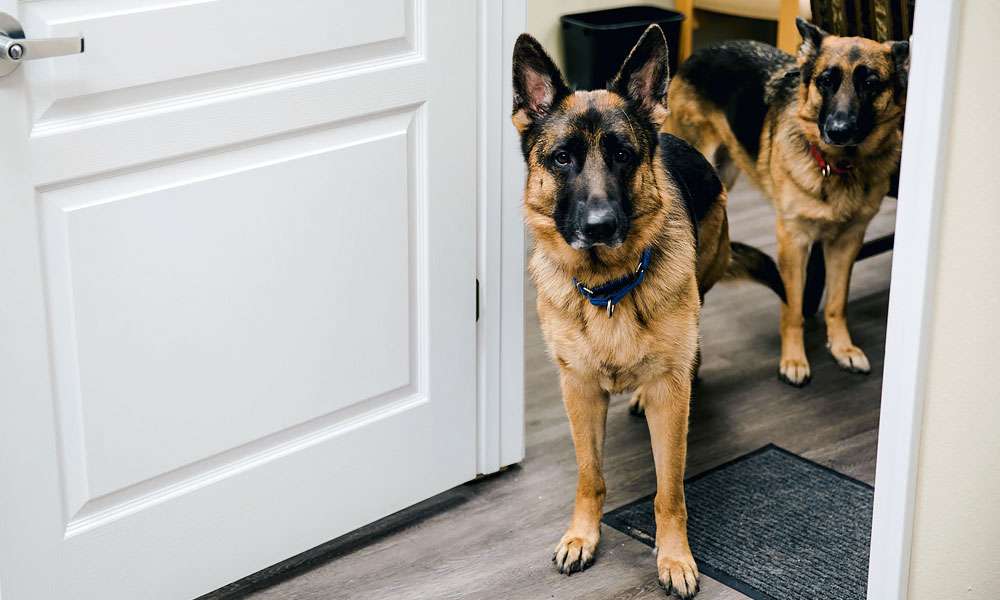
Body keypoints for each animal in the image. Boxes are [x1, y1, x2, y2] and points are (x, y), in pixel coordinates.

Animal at [512, 25, 784, 596]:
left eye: (621, 154)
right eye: (563, 158)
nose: (598, 226)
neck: (608, 288)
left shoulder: (669, 402)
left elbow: (669, 490)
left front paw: (675, 557)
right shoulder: (579, 390)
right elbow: (590, 476)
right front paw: (582, 535)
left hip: (702, 286)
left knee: (692, 349)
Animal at [668, 18, 912, 386]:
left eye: (870, 84)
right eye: (826, 81)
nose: (838, 131)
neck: (839, 166)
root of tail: (702, 50)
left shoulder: (848, 242)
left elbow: (837, 302)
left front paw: (842, 348)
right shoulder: (793, 242)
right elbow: (793, 307)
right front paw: (794, 360)